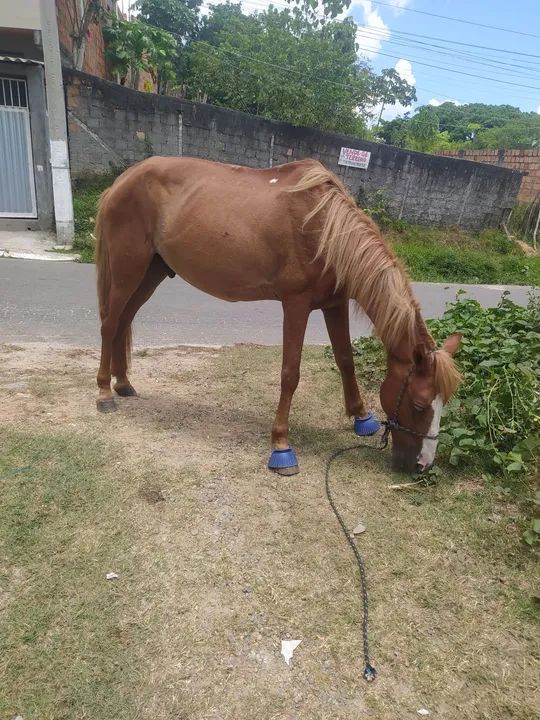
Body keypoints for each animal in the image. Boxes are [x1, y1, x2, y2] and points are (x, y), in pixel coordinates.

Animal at [94, 157, 462, 474]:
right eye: (419, 404)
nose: (423, 466)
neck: (325, 229)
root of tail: (121, 182)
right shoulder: (296, 305)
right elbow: (290, 373)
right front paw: (281, 445)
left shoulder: (334, 304)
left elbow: (345, 360)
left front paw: (361, 418)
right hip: (129, 269)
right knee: (110, 324)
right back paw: (104, 394)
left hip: (152, 272)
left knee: (124, 321)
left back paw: (122, 382)